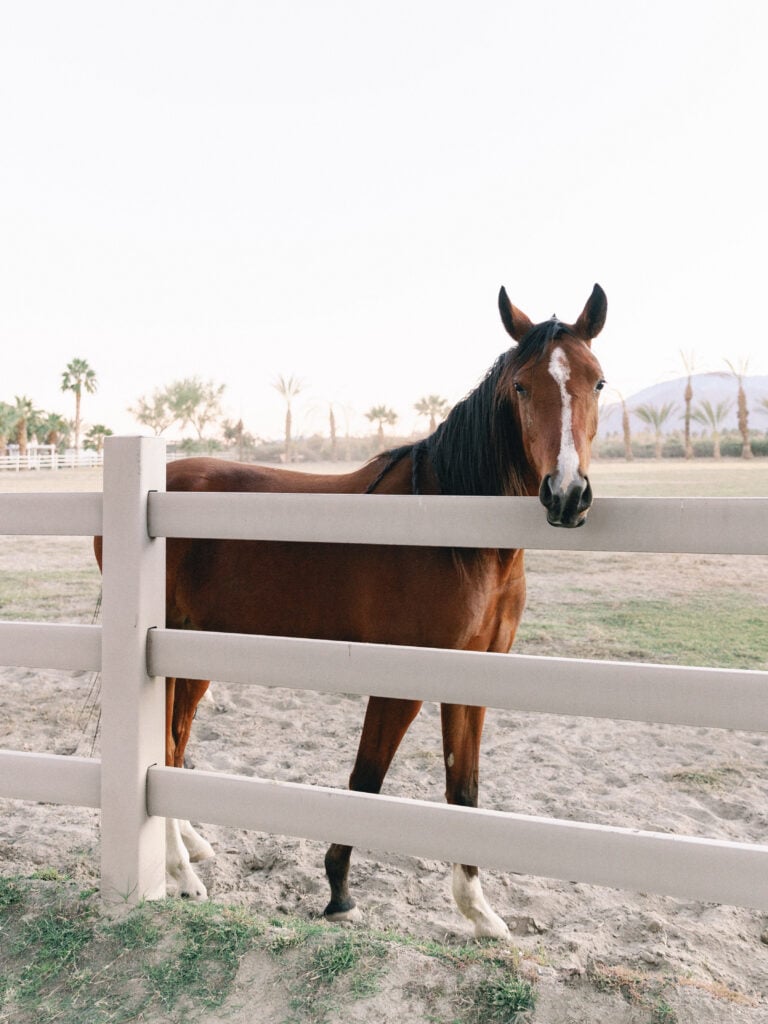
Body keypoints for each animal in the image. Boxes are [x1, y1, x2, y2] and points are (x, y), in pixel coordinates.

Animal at [95, 282, 607, 938]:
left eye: (597, 381)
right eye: (521, 386)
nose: (567, 495)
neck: (453, 532)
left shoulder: (474, 675)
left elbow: (464, 789)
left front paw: (481, 912)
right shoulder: (401, 677)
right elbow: (366, 781)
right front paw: (339, 891)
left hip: (194, 651)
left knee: (175, 744)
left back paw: (190, 843)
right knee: (162, 744)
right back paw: (183, 874)